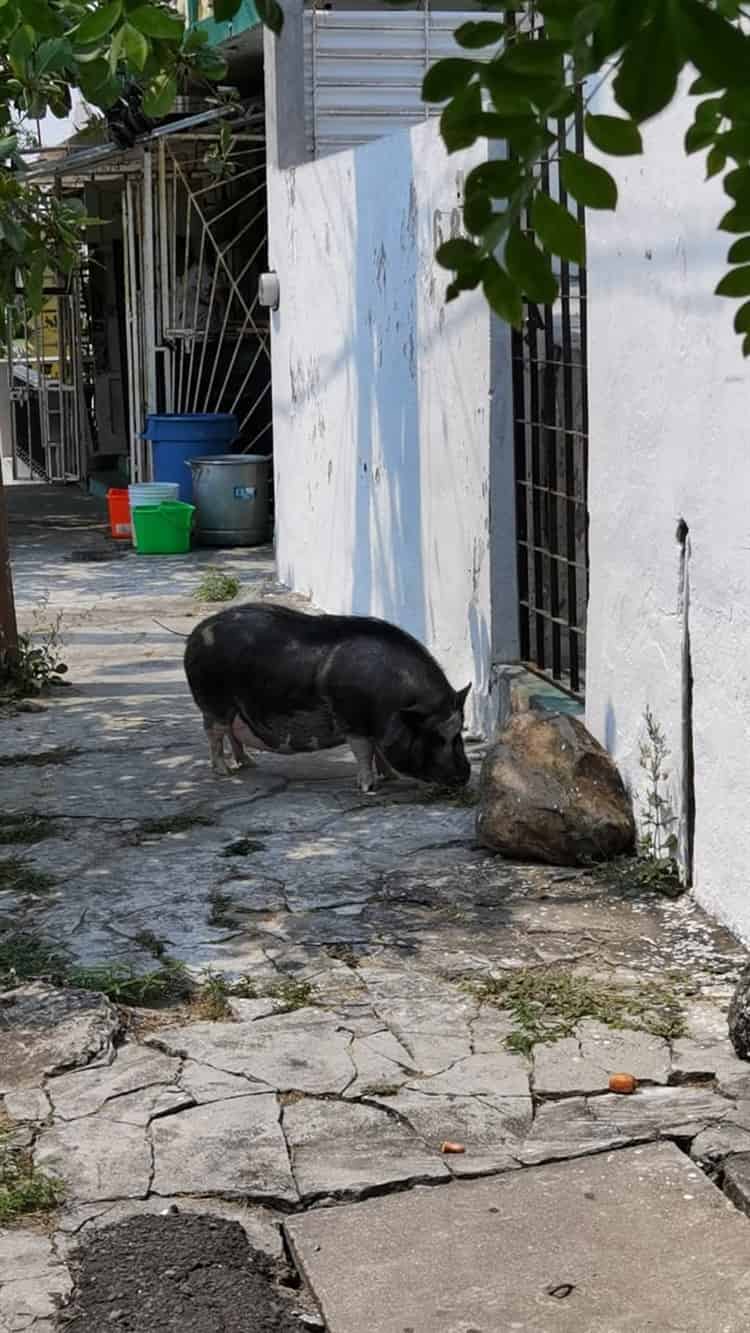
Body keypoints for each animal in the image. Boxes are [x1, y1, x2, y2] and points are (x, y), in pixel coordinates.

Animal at [183, 605, 471, 789]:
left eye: (459, 732)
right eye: (435, 736)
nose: (464, 777)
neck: (392, 703)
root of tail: (196, 632)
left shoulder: (372, 726)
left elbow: (378, 750)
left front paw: (392, 778)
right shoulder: (352, 721)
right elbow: (364, 751)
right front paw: (368, 787)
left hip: (233, 705)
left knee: (231, 733)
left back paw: (249, 764)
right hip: (213, 700)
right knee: (215, 733)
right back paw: (224, 771)